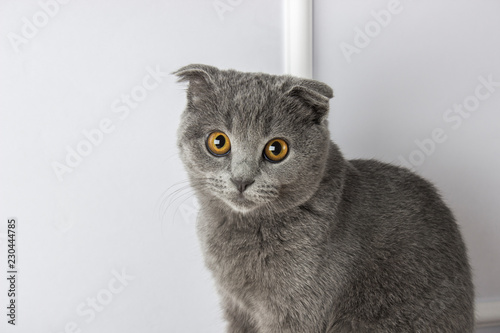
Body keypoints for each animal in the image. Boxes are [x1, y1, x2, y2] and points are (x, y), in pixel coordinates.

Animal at [174, 63, 474, 330]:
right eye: (218, 142)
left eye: (276, 149)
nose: (241, 179)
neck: (242, 230)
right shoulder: (236, 306)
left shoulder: (297, 312)